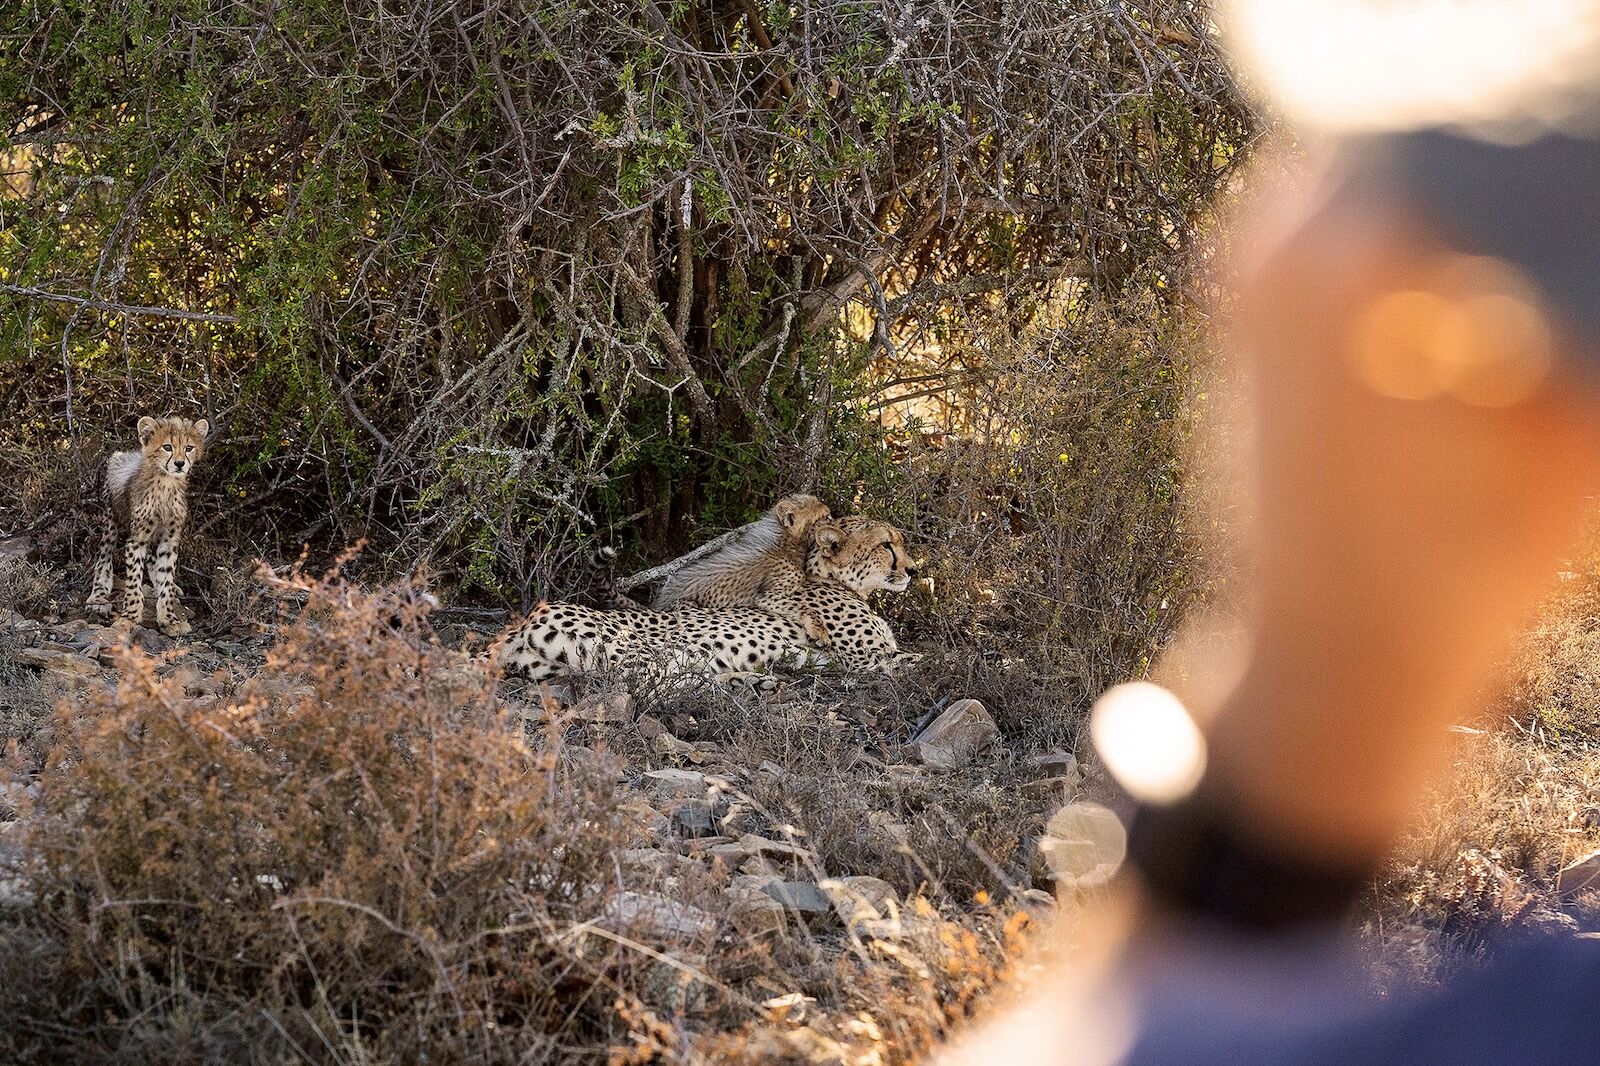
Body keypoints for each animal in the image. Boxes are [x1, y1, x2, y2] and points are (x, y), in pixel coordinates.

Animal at [86, 412, 209, 630]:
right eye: (167, 447)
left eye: (189, 448)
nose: (180, 464)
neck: (166, 484)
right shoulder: (137, 539)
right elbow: (134, 578)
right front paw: (131, 614)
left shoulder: (169, 539)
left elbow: (166, 574)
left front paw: (168, 617)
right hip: (111, 520)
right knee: (104, 556)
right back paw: (98, 596)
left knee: (152, 559)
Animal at [499, 515, 928, 681]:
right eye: (888, 545)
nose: (913, 570)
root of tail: (521, 622)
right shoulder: (870, 658)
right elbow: (929, 660)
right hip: (642, 654)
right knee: (650, 687)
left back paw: (758, 681)